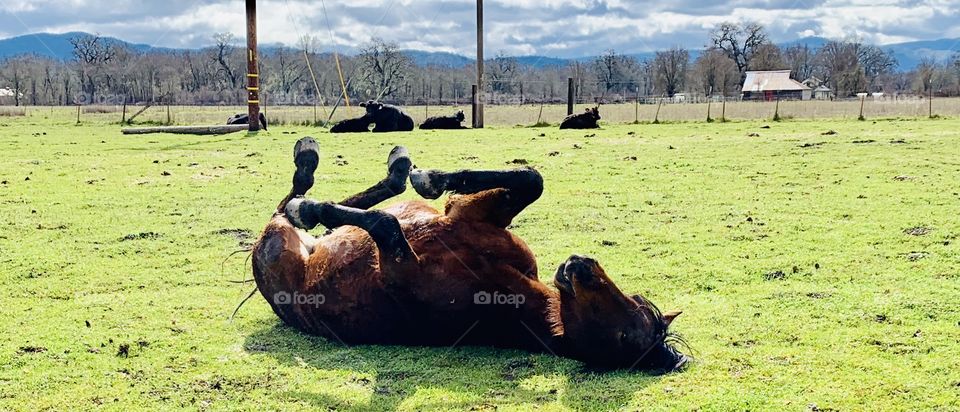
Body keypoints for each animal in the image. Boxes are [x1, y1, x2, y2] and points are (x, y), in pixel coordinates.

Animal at [251, 137, 688, 371]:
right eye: (637, 300)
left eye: (626, 334)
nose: (581, 265)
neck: (499, 289)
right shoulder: (468, 213)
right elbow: (531, 178)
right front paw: (430, 179)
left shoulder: (396, 266)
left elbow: (385, 224)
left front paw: (311, 208)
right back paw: (375, 164)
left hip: (276, 241)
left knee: (286, 209)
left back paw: (306, 193)